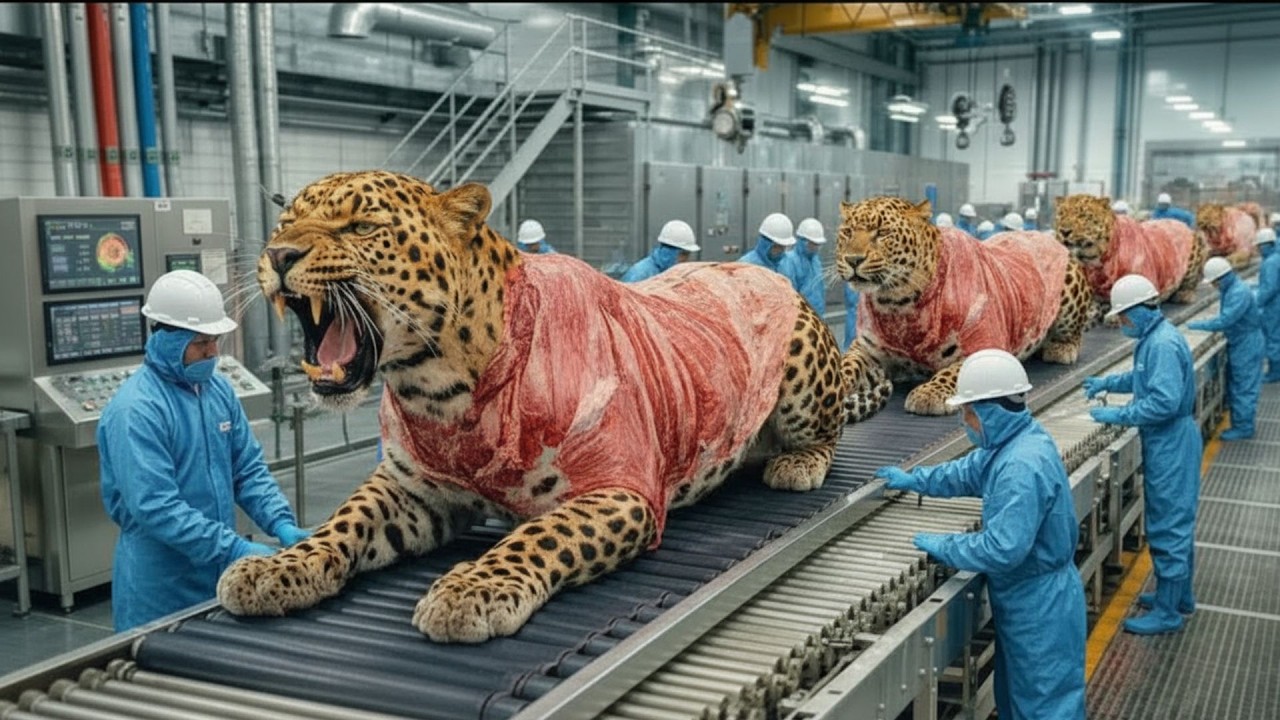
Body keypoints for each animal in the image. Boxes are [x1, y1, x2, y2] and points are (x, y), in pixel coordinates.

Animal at [216, 170, 848, 643]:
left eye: (363, 226)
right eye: (284, 223)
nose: (279, 254)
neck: (444, 391)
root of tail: (767, 274)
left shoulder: (620, 486)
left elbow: (543, 532)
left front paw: (472, 589)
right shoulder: (413, 487)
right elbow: (345, 520)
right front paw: (281, 564)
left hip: (801, 371)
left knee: (830, 432)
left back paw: (795, 462)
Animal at [835, 197, 1092, 418]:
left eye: (882, 233)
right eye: (847, 232)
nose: (853, 259)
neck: (897, 304)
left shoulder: (988, 346)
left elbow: (955, 371)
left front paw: (930, 393)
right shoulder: (867, 350)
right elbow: (847, 364)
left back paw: (1060, 348)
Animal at [1054, 194, 1207, 322]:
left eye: (1083, 215)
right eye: (1061, 215)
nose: (1064, 231)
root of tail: (1181, 223)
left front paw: (1113, 316)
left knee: (1191, 282)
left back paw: (1184, 295)